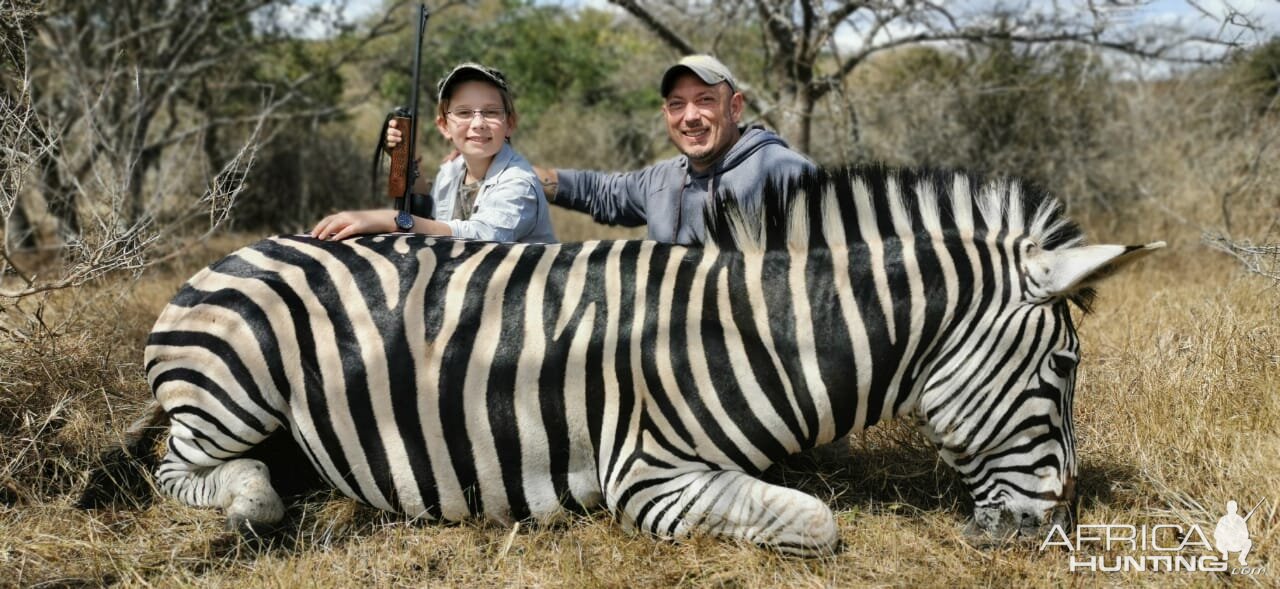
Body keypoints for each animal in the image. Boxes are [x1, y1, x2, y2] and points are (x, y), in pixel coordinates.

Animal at [132, 163, 1162, 553]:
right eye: (1063, 372)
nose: (1052, 522)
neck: (750, 333)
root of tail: (232, 254)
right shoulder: (648, 475)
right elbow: (816, 521)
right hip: (231, 393)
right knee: (182, 468)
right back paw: (251, 497)